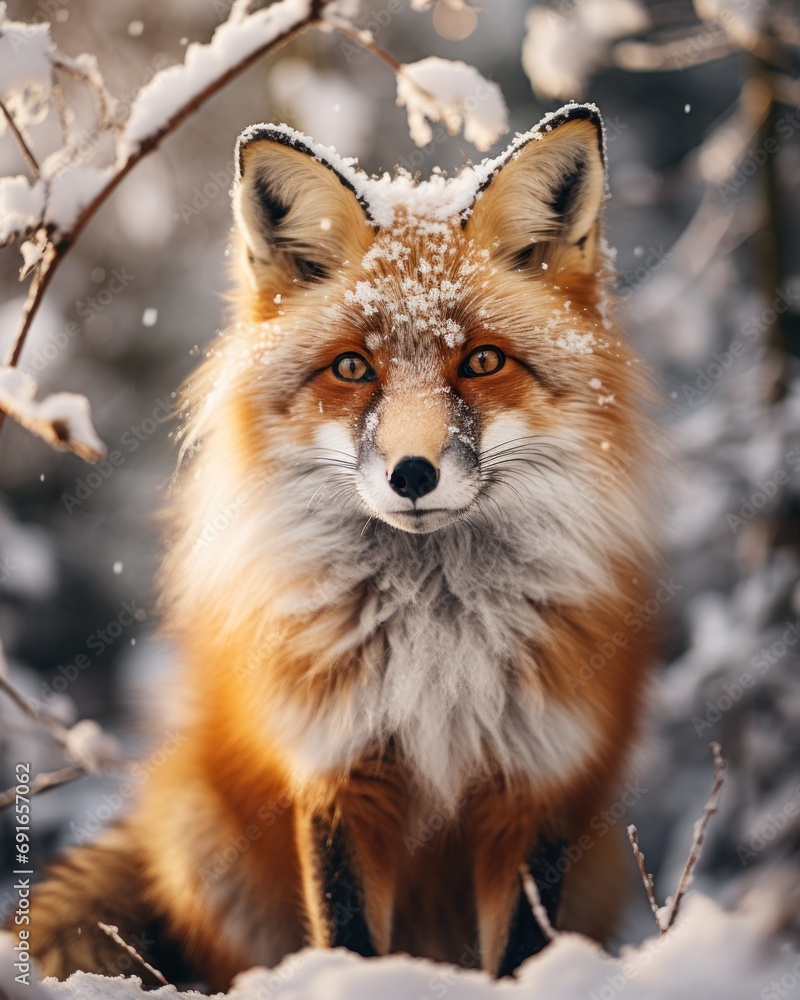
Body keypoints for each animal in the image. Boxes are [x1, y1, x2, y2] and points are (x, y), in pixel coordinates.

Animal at [28, 102, 658, 990]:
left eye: (483, 360)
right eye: (354, 368)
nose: (412, 473)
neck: (436, 642)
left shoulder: (533, 785)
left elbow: (520, 955)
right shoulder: (337, 772)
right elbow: (349, 937)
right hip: (197, 835)